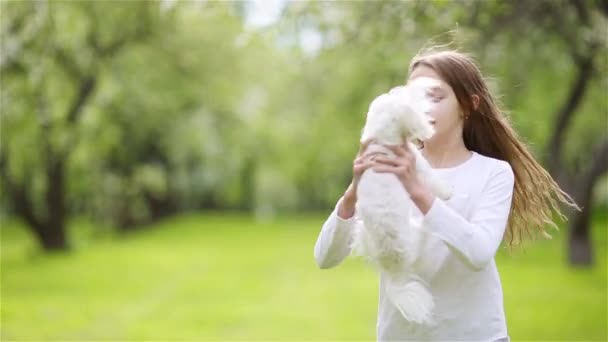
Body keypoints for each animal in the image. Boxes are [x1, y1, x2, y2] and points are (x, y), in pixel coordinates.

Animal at [352, 77, 452, 326]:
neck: (380, 141)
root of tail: (393, 268)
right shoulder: (416, 163)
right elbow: (431, 177)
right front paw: (446, 192)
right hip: (417, 233)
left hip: (361, 231)